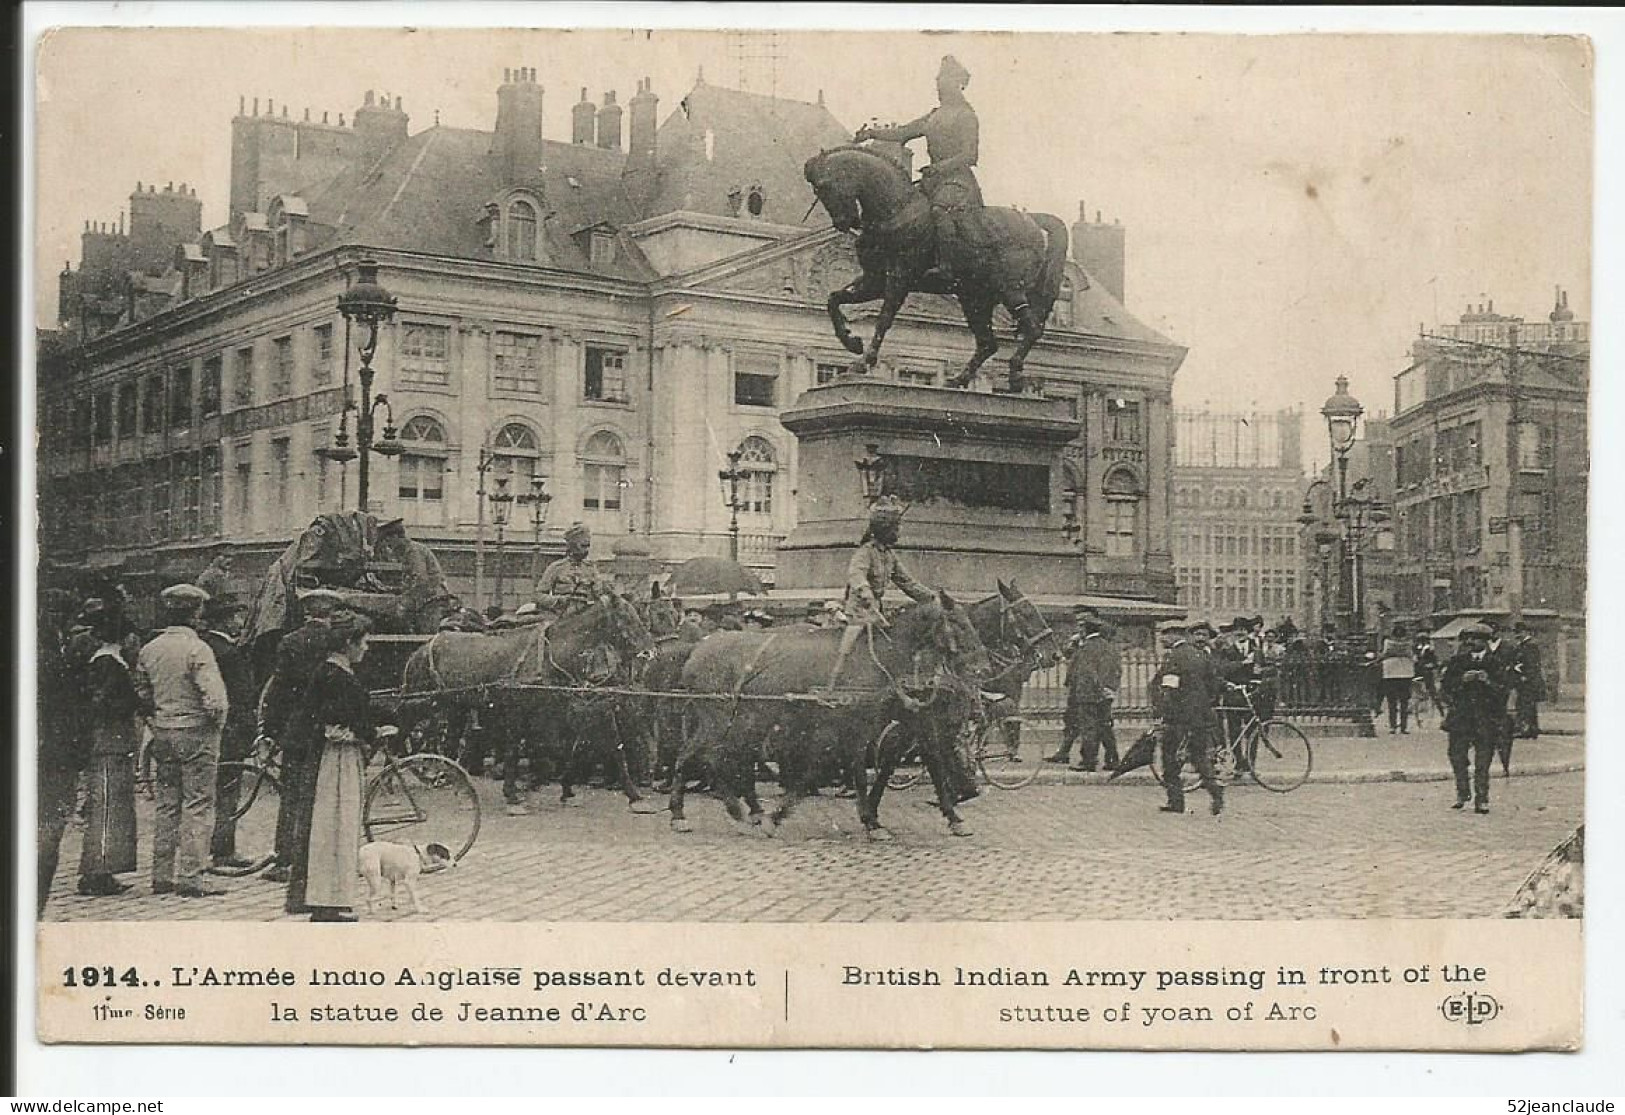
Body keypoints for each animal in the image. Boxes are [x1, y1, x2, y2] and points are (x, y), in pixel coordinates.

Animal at [396, 594, 656, 812]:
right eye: (626, 619)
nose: (650, 653)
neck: (552, 657)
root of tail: (422, 648)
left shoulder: (572, 710)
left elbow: (599, 747)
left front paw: (631, 796)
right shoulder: (520, 711)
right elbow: (514, 749)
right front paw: (513, 796)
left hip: (454, 707)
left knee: (449, 743)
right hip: (423, 701)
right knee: (404, 726)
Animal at [663, 594, 988, 838]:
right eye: (957, 622)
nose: (982, 666)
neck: (881, 660)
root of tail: (697, 651)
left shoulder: (894, 723)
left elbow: (921, 761)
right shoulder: (850, 727)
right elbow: (843, 770)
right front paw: (868, 819)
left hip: (742, 722)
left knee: (716, 758)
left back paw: (740, 810)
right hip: (718, 719)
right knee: (699, 757)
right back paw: (693, 812)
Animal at [806, 145, 1072, 393]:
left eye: (825, 185)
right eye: (816, 190)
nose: (844, 223)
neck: (895, 210)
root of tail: (1031, 220)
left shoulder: (899, 278)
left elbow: (883, 319)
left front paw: (863, 362)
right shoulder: (875, 280)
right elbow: (833, 299)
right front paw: (851, 341)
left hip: (1010, 289)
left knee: (1032, 328)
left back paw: (1015, 375)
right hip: (975, 298)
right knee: (988, 343)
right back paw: (958, 380)